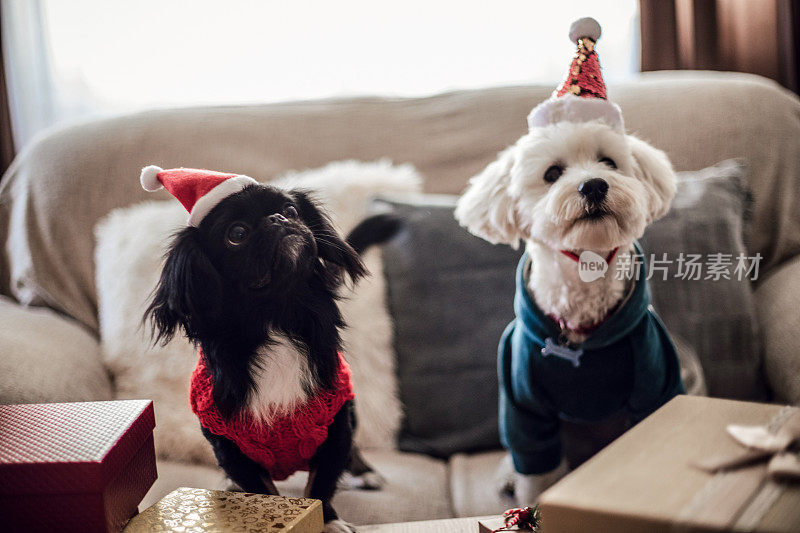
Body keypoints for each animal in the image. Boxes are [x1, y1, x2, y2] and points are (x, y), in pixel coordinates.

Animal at [145, 182, 396, 528]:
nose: (278, 219)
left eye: (291, 210)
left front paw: (329, 521)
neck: (275, 319)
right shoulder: (229, 448)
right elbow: (263, 490)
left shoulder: (336, 426)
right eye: (236, 234)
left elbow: (321, 484)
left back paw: (366, 472)